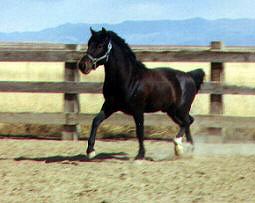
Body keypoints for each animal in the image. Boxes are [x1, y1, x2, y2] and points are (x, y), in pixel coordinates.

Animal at [78, 27, 205, 159]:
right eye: (89, 44)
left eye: (100, 45)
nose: (83, 65)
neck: (128, 78)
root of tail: (189, 76)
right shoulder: (110, 105)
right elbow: (96, 121)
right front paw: (90, 151)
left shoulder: (138, 110)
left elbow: (140, 131)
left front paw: (140, 155)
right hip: (172, 111)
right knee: (188, 122)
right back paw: (187, 149)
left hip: (180, 109)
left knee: (186, 122)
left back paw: (181, 147)